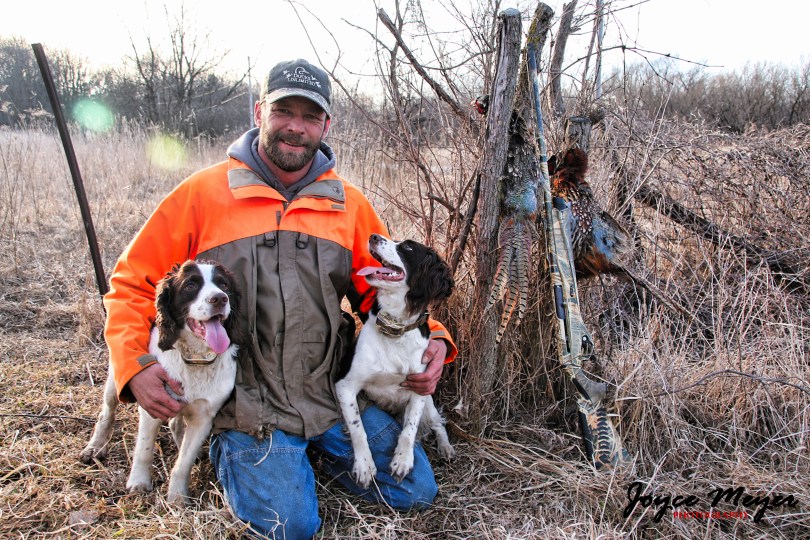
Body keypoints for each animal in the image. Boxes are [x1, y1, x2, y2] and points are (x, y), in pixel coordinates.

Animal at [80, 260, 242, 504]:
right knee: (106, 413)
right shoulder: (153, 401)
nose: (220, 299)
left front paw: (177, 497)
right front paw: (139, 482)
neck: (195, 357)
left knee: (175, 423)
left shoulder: (204, 416)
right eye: (190, 285)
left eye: (223, 284)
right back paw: (95, 447)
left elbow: (183, 462)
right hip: (115, 378)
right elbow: (144, 449)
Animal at [335, 233, 455, 488]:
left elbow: (409, 429)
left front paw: (402, 460)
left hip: (430, 401)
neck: (395, 329)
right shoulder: (345, 385)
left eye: (408, 247)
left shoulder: (421, 386)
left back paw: (446, 447)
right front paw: (364, 465)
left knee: (438, 422)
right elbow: (358, 428)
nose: (373, 236)